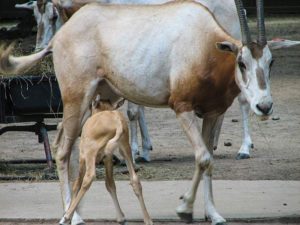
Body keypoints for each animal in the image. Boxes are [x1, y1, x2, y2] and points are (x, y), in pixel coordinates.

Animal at [58, 95, 152, 225]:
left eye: (91, 106)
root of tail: (117, 121)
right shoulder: (108, 157)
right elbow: (110, 183)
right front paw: (121, 217)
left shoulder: (83, 157)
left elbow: (77, 184)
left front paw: (68, 216)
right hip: (125, 150)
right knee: (135, 180)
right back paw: (147, 219)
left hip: (90, 154)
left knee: (89, 177)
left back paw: (66, 217)